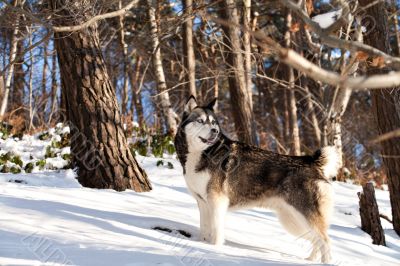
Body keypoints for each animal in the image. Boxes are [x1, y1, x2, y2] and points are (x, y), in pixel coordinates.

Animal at [173, 96, 340, 262]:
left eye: (213, 122)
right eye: (200, 121)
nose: (214, 131)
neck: (204, 153)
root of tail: (312, 162)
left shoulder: (217, 202)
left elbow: (216, 231)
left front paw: (214, 249)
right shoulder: (203, 203)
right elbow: (204, 229)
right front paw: (202, 244)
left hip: (304, 217)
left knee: (325, 240)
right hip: (292, 221)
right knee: (316, 240)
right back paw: (310, 260)